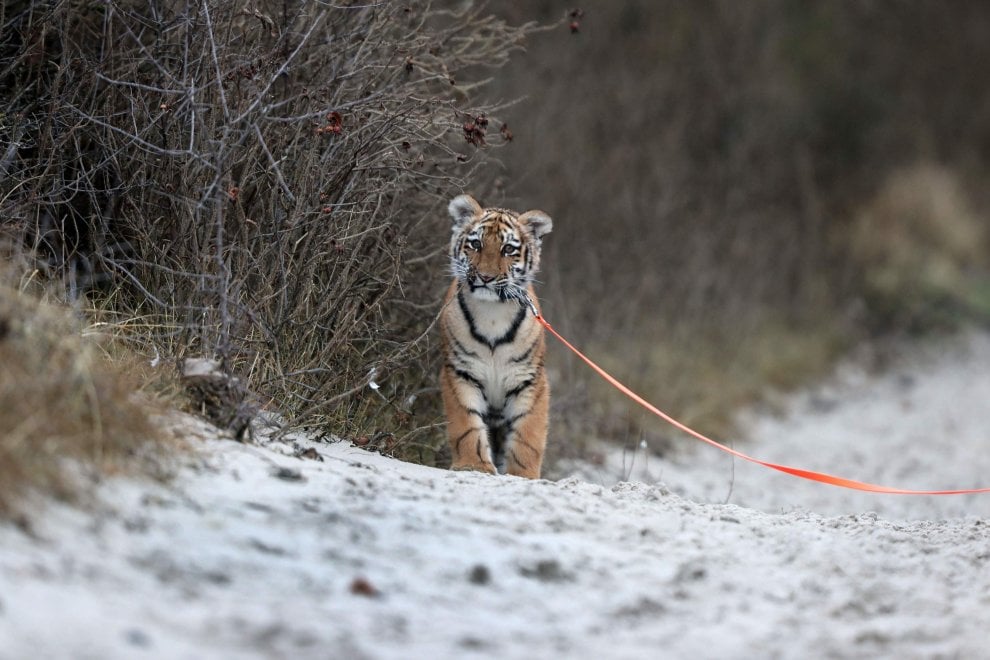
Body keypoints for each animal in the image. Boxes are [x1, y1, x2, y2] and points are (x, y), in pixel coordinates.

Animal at [439, 194, 553, 479]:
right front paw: (473, 465)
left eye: (508, 249)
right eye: (476, 244)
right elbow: (466, 424)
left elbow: (528, 434)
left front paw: (522, 475)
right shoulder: (460, 371)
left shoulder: (530, 378)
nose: (485, 277)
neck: (492, 311)